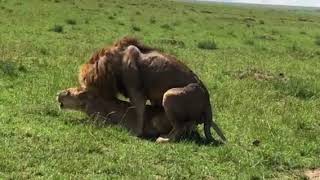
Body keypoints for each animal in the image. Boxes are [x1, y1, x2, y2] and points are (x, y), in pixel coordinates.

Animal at [78, 37, 226, 143]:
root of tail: (208, 101)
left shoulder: (136, 92)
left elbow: (139, 112)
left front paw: (137, 133)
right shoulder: (153, 97)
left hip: (170, 95)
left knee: (179, 127)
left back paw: (163, 139)